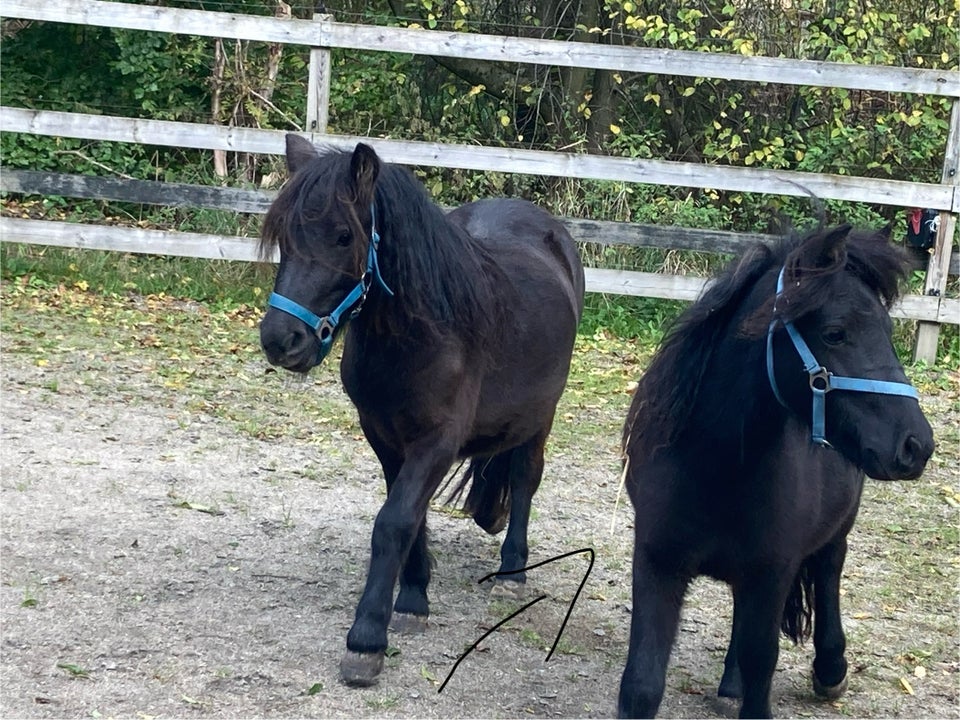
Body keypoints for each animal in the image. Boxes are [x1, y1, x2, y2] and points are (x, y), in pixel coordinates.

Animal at [256, 134, 584, 688]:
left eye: (344, 236)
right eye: (283, 236)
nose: (282, 341)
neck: (420, 336)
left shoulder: (437, 442)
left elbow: (393, 522)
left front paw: (366, 639)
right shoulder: (385, 438)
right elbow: (410, 516)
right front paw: (412, 599)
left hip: (541, 417)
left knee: (524, 477)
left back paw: (513, 571)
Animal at [620, 222, 932, 716]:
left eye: (886, 329)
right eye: (835, 333)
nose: (916, 444)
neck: (713, 466)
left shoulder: (773, 571)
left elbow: (761, 661)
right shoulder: (657, 562)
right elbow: (642, 683)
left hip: (836, 527)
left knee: (828, 569)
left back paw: (830, 670)